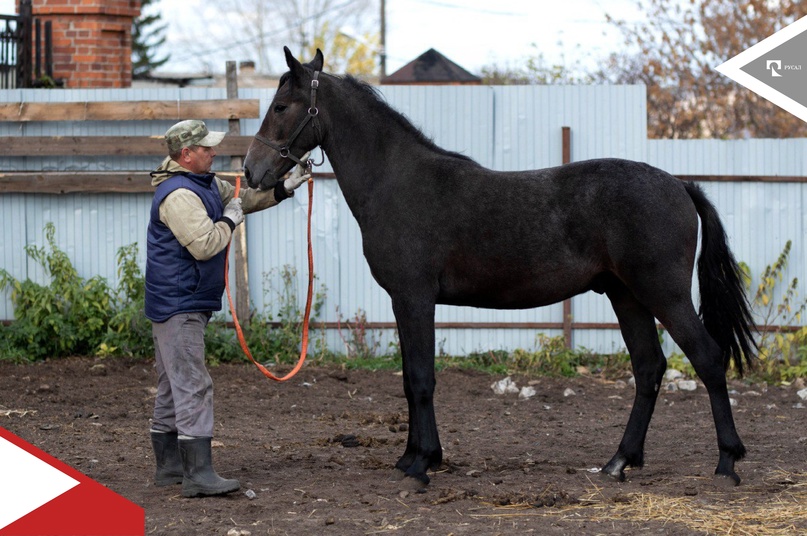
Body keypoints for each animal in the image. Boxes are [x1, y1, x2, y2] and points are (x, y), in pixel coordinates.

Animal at [245, 49, 756, 486]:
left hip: (663, 294)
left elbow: (421, 378)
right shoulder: (404, 303)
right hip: (626, 295)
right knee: (649, 368)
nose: (252, 172)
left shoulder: (414, 298)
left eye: (282, 105)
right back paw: (619, 462)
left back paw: (727, 462)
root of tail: (680, 185)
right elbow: (410, 380)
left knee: (707, 359)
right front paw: (411, 457)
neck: (398, 182)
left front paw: (422, 463)